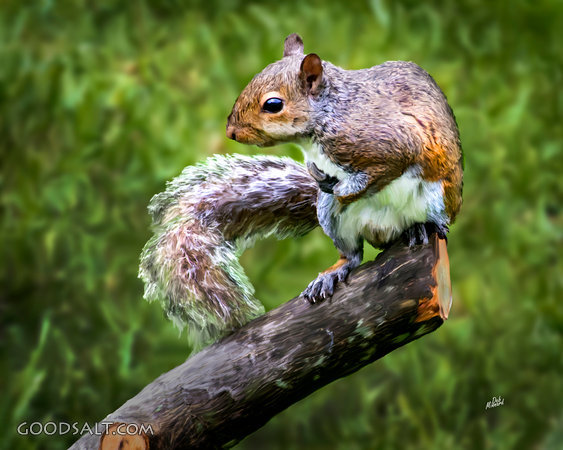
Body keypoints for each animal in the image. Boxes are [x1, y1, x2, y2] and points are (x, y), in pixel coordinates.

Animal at [139, 34, 462, 350]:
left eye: (273, 104)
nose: (231, 132)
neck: (325, 119)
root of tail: (385, 233)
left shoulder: (392, 143)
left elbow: (382, 170)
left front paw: (344, 189)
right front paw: (318, 177)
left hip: (435, 200)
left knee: (433, 225)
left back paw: (420, 228)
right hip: (331, 218)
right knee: (353, 254)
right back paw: (333, 272)